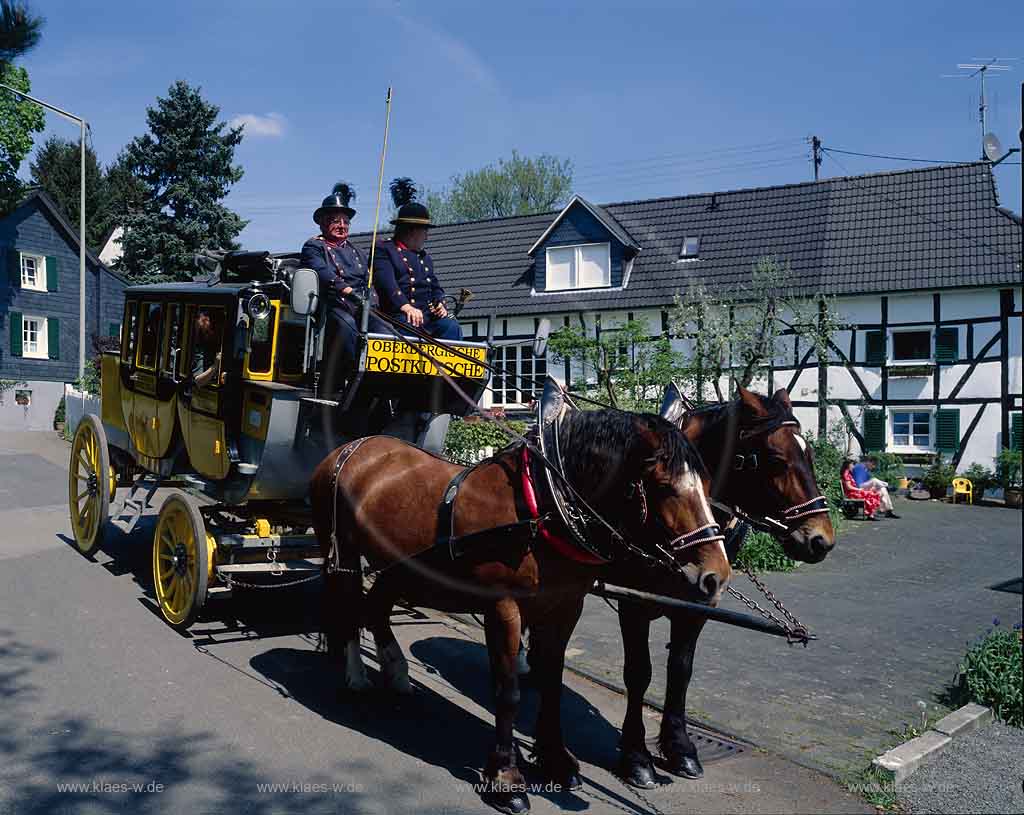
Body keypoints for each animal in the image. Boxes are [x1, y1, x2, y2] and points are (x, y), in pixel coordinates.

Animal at [307, 411, 733, 810]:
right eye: (663, 487)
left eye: (708, 486)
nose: (716, 576)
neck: (543, 508)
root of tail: (351, 448)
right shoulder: (503, 608)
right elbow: (508, 691)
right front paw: (506, 778)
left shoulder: (565, 607)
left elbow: (551, 683)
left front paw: (555, 759)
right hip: (342, 552)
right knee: (347, 606)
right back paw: (356, 675)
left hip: (399, 566)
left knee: (376, 605)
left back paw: (395, 671)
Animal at [606, 384, 831, 786]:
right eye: (775, 459)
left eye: (809, 453)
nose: (821, 539)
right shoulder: (632, 602)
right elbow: (639, 673)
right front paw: (636, 756)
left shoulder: (699, 604)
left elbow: (680, 670)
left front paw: (680, 748)